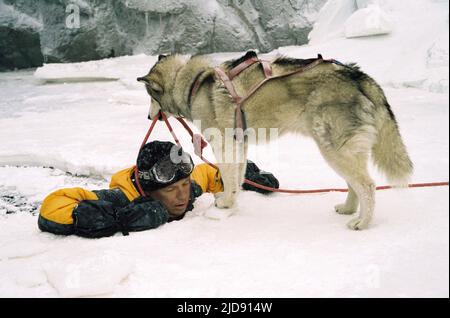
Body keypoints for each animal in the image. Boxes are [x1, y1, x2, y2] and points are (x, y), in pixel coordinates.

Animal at [136, 51, 412, 229]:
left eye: (150, 96)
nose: (148, 116)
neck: (194, 83)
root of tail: (359, 76)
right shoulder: (239, 143)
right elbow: (237, 177)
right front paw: (232, 202)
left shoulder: (223, 143)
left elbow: (228, 176)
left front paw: (225, 203)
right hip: (340, 151)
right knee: (355, 184)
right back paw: (348, 210)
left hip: (334, 150)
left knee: (367, 186)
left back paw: (362, 222)